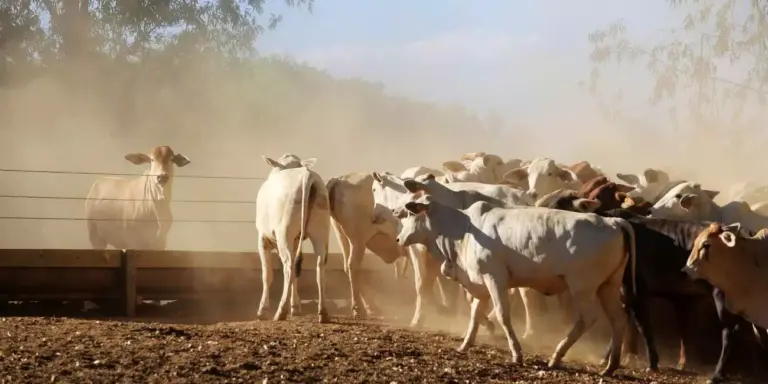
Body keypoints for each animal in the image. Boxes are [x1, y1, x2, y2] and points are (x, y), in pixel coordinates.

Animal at [84, 146, 190, 308]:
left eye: (171, 159)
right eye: (151, 159)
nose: (162, 176)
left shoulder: (160, 243)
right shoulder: (135, 242)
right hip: (94, 235)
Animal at [256, 153, 332, 324]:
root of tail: (306, 174)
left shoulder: (263, 239)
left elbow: (266, 275)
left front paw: (262, 310)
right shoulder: (296, 241)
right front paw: (296, 307)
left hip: (284, 233)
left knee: (289, 267)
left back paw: (280, 312)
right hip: (321, 232)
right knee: (319, 267)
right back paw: (323, 313)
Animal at [390, 196, 636, 376]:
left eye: (411, 214)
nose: (398, 239)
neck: (464, 229)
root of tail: (613, 222)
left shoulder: (495, 278)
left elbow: (502, 314)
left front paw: (517, 354)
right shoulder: (480, 282)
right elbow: (475, 314)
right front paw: (465, 344)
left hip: (582, 287)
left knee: (588, 318)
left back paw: (556, 357)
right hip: (608, 287)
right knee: (618, 319)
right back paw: (610, 366)